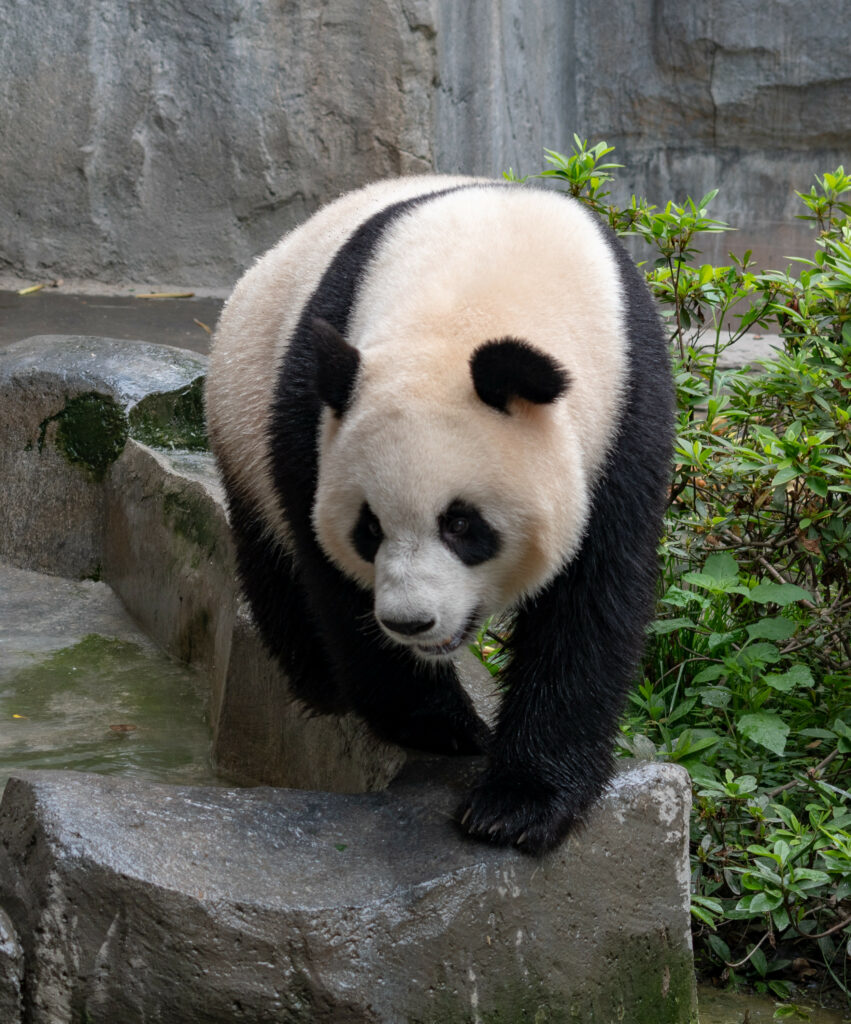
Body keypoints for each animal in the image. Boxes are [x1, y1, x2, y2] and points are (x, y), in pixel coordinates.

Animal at [205, 176, 673, 856]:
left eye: (461, 524)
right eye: (368, 529)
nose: (411, 622)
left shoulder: (628, 407)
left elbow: (592, 598)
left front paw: (517, 806)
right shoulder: (311, 418)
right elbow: (334, 584)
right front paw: (445, 727)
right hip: (241, 418)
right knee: (273, 562)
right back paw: (320, 681)